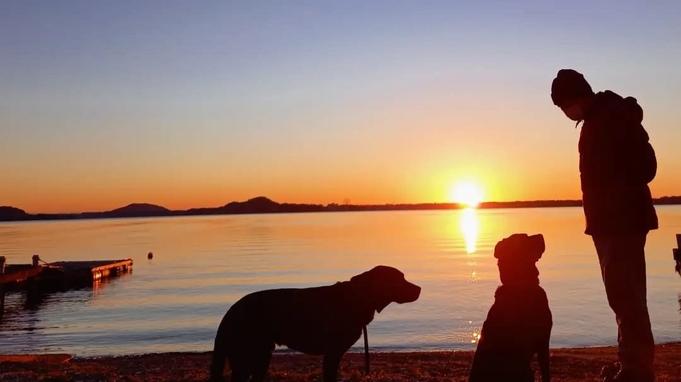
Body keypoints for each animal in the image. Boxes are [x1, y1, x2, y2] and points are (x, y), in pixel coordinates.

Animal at [210, 266, 420, 382]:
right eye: (399, 279)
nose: (419, 288)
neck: (358, 297)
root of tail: (231, 311)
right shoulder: (333, 352)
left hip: (259, 356)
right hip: (249, 356)